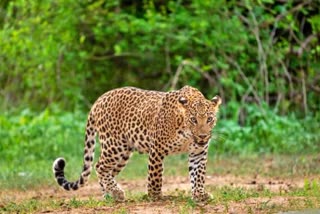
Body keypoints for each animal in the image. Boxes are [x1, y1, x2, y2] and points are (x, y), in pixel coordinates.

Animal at [53, 85, 222, 202]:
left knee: (107, 172)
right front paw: (155, 196)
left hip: (123, 153)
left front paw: (200, 195)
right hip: (114, 146)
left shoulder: (198, 152)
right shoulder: (157, 149)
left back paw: (109, 196)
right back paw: (116, 193)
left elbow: (198, 175)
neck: (186, 133)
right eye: (193, 119)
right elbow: (155, 177)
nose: (202, 136)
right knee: (99, 166)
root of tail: (99, 100)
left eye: (209, 119)